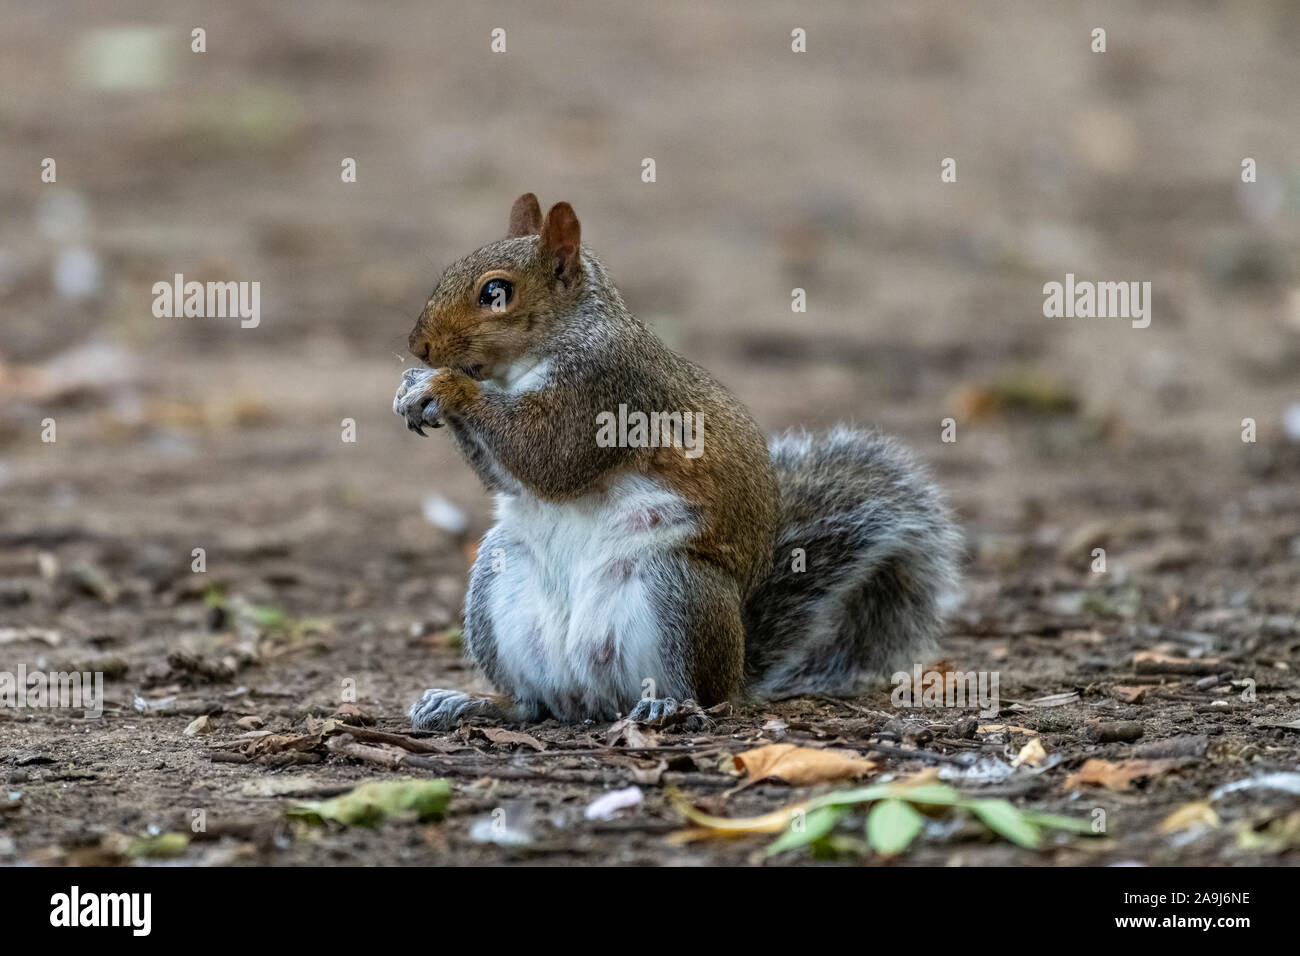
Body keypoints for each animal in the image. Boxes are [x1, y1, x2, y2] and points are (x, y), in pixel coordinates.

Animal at [393, 194, 961, 729]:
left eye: (495, 293)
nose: (419, 347)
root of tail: (590, 699)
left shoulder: (606, 391)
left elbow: (549, 457)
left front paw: (445, 387)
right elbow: (514, 479)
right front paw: (413, 391)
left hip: (679, 590)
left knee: (703, 695)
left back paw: (670, 705)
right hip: (499, 576)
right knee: (531, 705)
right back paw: (470, 703)